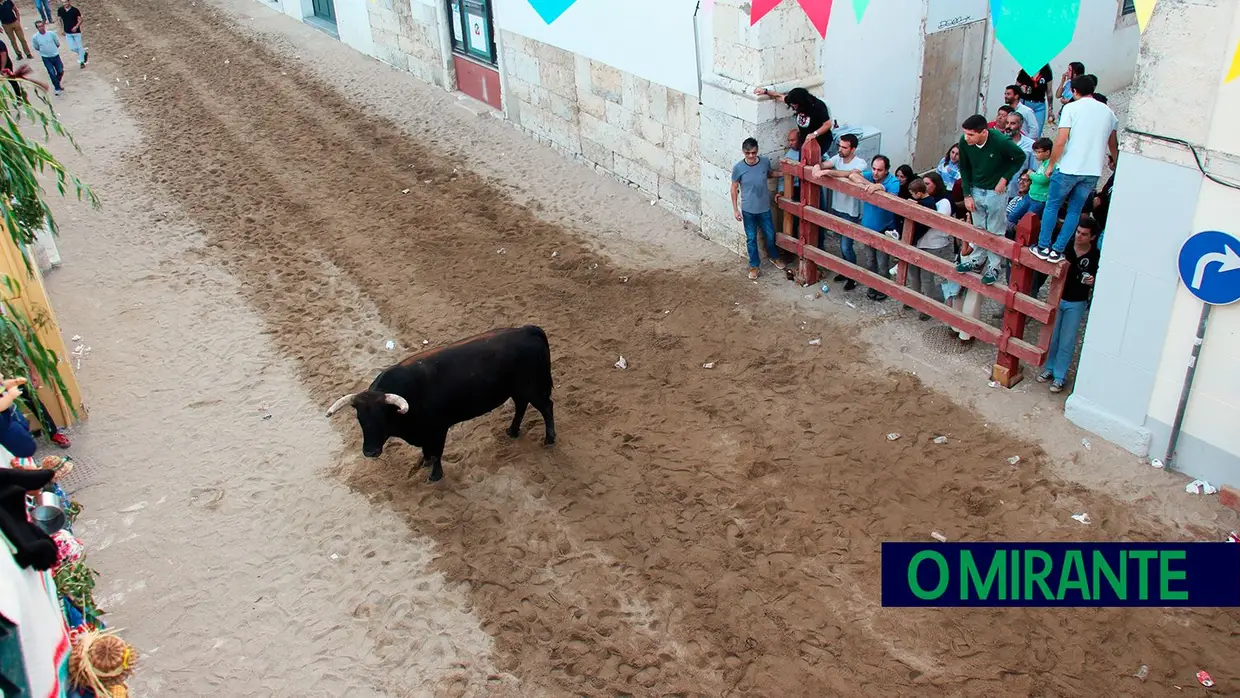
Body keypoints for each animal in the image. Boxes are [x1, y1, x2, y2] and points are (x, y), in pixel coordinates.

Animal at [329, 327, 562, 481]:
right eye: (360, 419)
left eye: (383, 418)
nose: (370, 452)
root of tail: (526, 330)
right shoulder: (424, 433)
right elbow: (427, 450)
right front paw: (424, 462)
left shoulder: (439, 429)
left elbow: (437, 452)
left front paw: (435, 475)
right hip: (517, 390)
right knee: (521, 406)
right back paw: (512, 431)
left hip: (532, 387)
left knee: (546, 407)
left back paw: (548, 439)